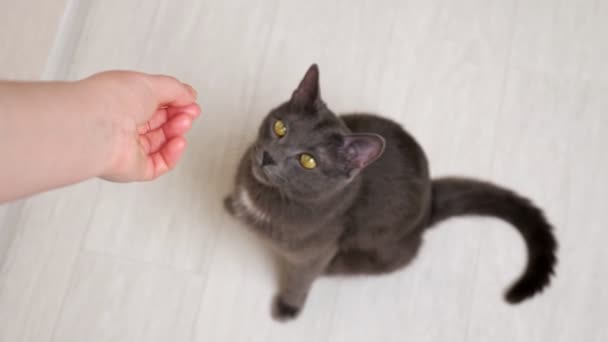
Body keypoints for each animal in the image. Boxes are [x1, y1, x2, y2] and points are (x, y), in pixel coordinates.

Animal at [223, 64, 556, 320]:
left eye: (308, 160)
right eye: (280, 128)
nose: (269, 157)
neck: (261, 195)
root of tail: (430, 203)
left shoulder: (316, 251)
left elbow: (301, 278)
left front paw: (287, 308)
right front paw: (230, 205)